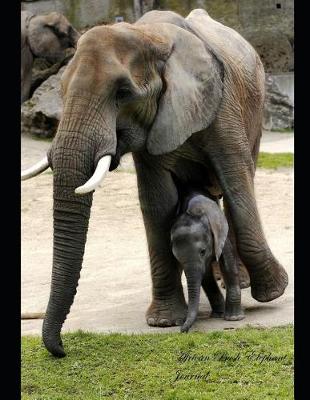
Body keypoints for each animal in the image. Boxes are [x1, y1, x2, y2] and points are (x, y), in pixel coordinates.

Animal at [21, 8, 288, 356]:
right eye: (62, 90)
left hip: (254, 109)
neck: (149, 36)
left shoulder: (223, 106)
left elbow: (237, 185)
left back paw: (241, 282)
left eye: (122, 94)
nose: (62, 350)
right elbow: (157, 202)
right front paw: (163, 322)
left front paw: (273, 292)